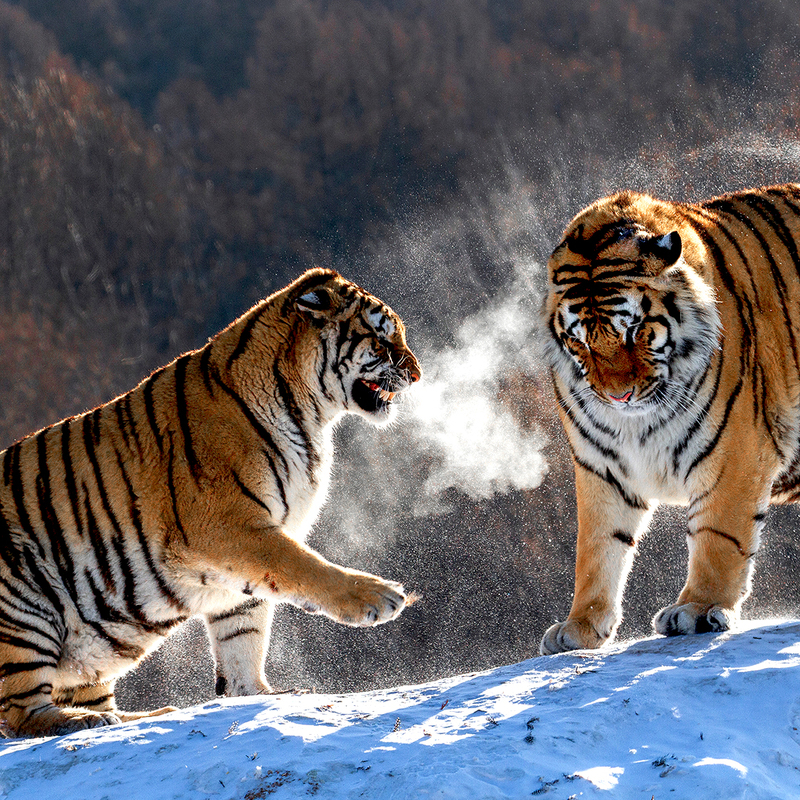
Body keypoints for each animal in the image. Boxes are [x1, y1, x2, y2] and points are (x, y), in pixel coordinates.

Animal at [0, 267, 421, 738]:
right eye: (383, 340)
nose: (418, 375)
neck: (310, 415)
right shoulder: (229, 525)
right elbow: (304, 566)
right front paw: (379, 597)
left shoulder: (241, 554)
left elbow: (244, 633)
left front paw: (259, 693)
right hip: (23, 600)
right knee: (20, 714)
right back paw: (85, 721)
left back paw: (139, 715)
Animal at [539, 182, 800, 656]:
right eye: (580, 342)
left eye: (633, 330)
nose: (617, 395)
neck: (636, 423)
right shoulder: (602, 466)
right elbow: (597, 547)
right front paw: (581, 626)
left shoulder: (734, 452)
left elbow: (718, 536)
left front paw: (697, 609)